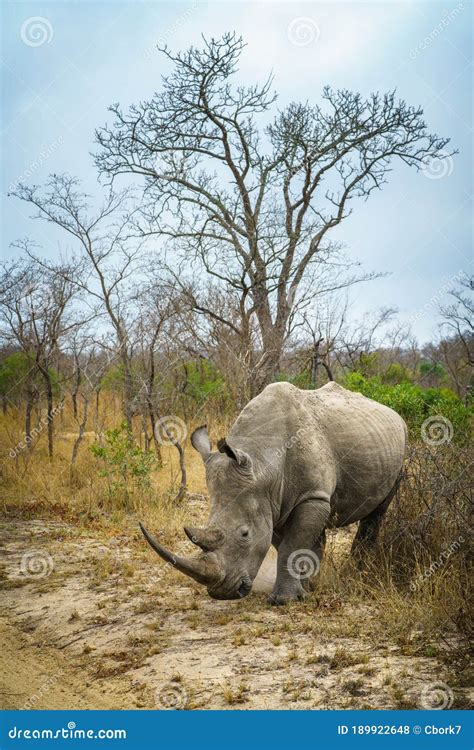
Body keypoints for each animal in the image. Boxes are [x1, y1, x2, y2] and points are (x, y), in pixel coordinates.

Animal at [141, 384, 408, 608]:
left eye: (245, 534)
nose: (222, 593)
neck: (263, 463)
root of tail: (393, 413)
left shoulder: (311, 496)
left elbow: (292, 544)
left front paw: (283, 600)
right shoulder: (273, 503)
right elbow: (285, 544)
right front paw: (303, 591)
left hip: (402, 440)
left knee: (378, 511)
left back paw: (359, 570)